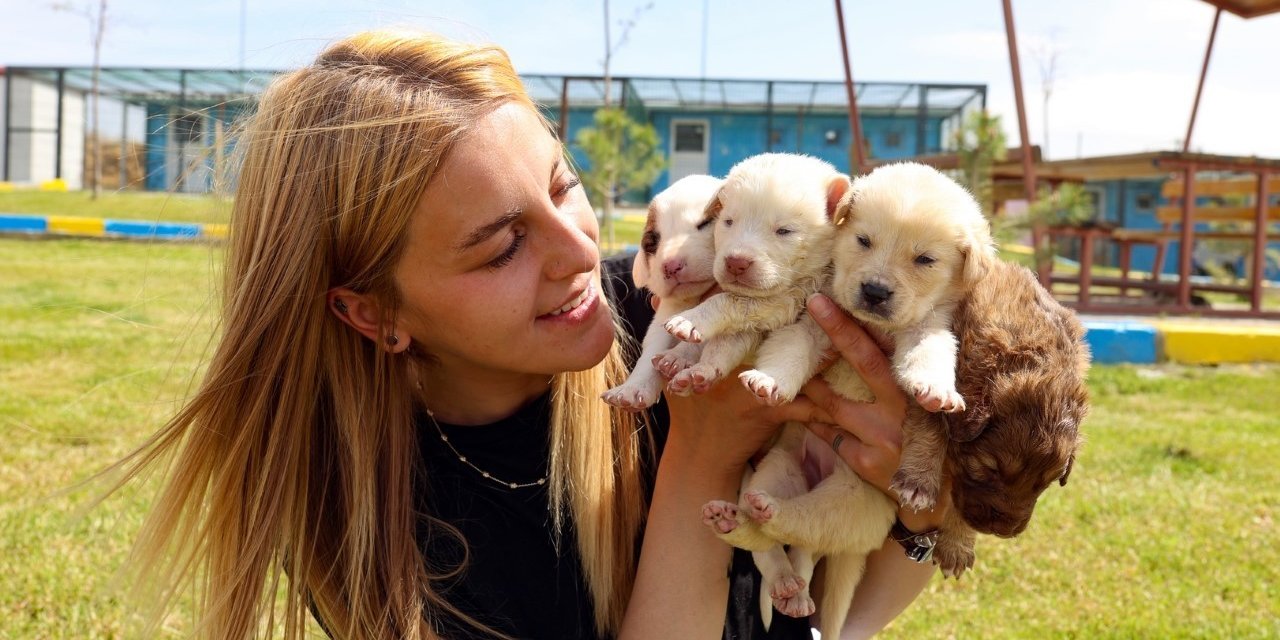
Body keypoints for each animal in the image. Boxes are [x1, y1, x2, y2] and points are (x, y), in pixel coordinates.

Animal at [599, 175, 721, 412]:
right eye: (651, 244)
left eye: (705, 223)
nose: (671, 266)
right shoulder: (666, 316)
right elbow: (652, 348)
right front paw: (633, 388)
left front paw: (679, 357)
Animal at [660, 153, 849, 394]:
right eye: (728, 222)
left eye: (784, 231)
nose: (736, 263)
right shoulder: (755, 322)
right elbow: (726, 342)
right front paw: (703, 369)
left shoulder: (789, 300)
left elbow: (730, 300)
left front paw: (690, 319)